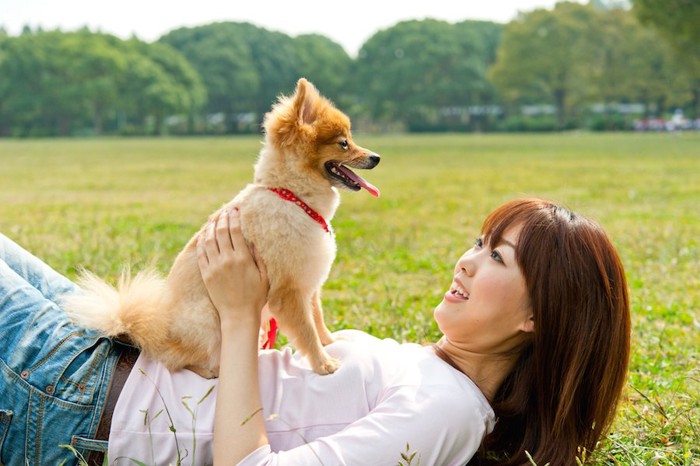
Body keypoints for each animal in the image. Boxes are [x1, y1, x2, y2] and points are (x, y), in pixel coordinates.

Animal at [64, 79, 382, 378]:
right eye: (343, 143)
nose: (376, 157)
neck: (291, 196)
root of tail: (156, 335)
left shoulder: (309, 284)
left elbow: (317, 320)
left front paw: (330, 343)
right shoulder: (288, 291)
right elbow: (306, 331)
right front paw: (324, 364)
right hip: (208, 320)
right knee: (178, 361)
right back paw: (209, 369)